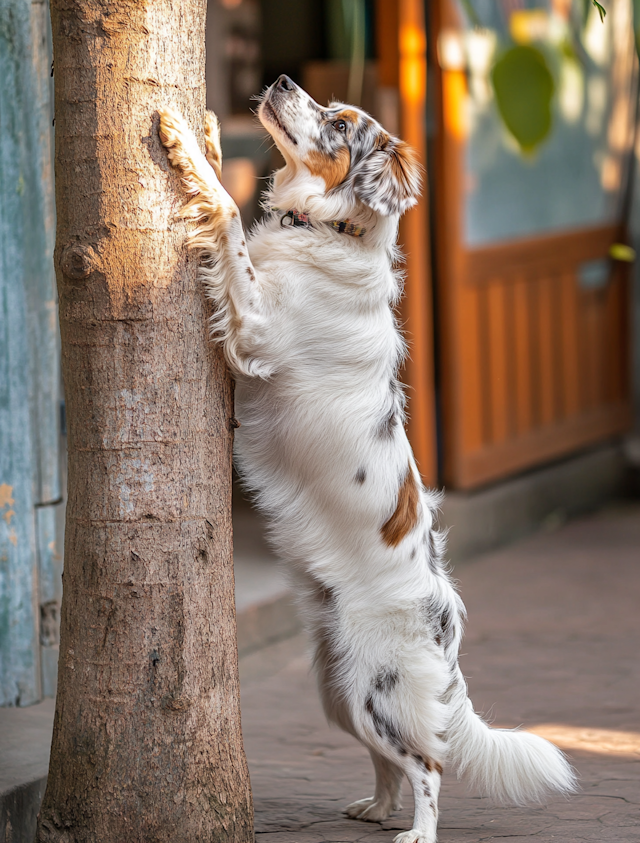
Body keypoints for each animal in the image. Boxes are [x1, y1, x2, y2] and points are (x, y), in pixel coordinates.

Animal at [159, 74, 576, 843]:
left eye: (343, 123)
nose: (282, 80)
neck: (324, 230)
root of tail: (446, 619)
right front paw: (203, 131)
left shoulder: (255, 333)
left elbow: (227, 214)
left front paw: (194, 159)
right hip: (338, 686)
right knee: (388, 760)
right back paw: (377, 809)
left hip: (377, 688)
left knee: (430, 764)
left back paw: (417, 830)